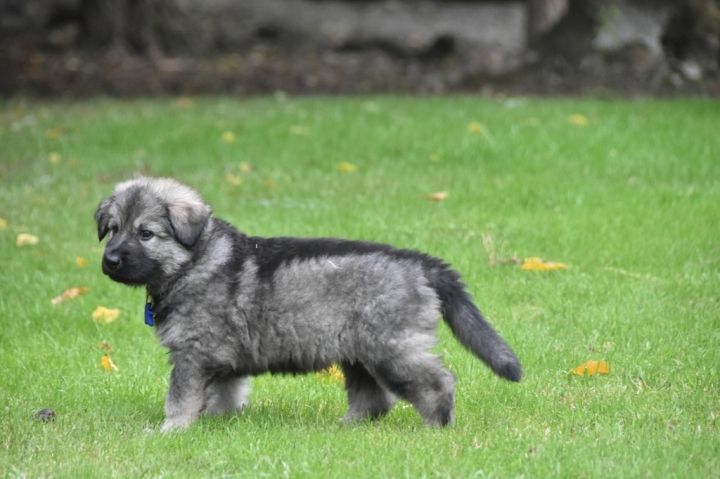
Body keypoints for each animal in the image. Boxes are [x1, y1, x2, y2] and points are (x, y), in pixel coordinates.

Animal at [95, 177, 521, 432]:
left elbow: (180, 396)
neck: (193, 259)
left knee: (436, 381)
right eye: (112, 230)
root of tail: (420, 262)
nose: (110, 261)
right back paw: (347, 426)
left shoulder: (192, 353)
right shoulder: (220, 357)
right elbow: (226, 390)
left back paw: (438, 425)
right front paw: (218, 420)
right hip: (359, 351)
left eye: (146, 234)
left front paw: (172, 429)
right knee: (374, 399)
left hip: (391, 347)